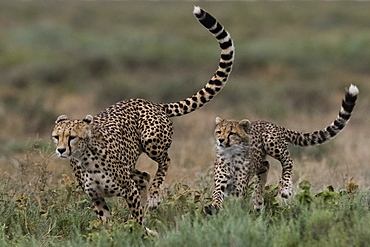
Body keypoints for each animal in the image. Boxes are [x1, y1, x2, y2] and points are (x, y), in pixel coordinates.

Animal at [52, 6, 234, 229]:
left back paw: (154, 197)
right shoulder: (97, 197)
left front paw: (142, 230)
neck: (85, 158)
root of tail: (151, 103)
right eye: (56, 137)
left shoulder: (127, 189)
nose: (61, 150)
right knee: (144, 175)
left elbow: (138, 218)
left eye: (72, 137)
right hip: (132, 164)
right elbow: (106, 222)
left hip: (151, 142)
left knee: (165, 161)